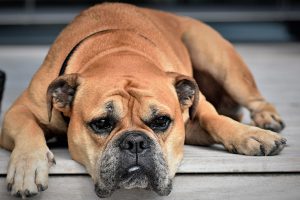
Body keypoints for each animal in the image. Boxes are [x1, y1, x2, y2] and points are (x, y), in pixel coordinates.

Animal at [0, 3, 286, 198]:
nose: (135, 142)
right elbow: (28, 128)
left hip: (218, 58)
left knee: (252, 99)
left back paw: (266, 119)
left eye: (161, 121)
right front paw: (27, 167)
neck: (118, 52)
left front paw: (249, 135)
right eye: (101, 123)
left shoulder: (197, 112)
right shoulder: (19, 111)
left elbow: (215, 119)